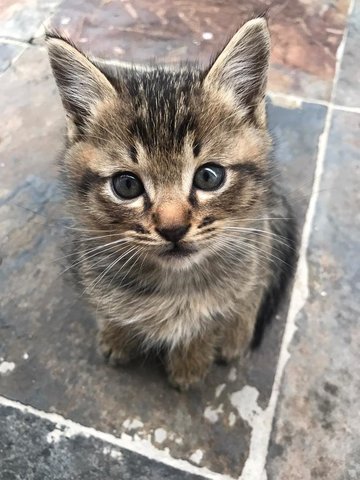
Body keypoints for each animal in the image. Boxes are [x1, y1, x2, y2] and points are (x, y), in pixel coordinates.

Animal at [46, 16, 296, 390]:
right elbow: (108, 306)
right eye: (126, 185)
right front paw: (117, 334)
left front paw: (189, 364)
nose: (173, 228)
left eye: (209, 177)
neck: (171, 289)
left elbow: (212, 318)